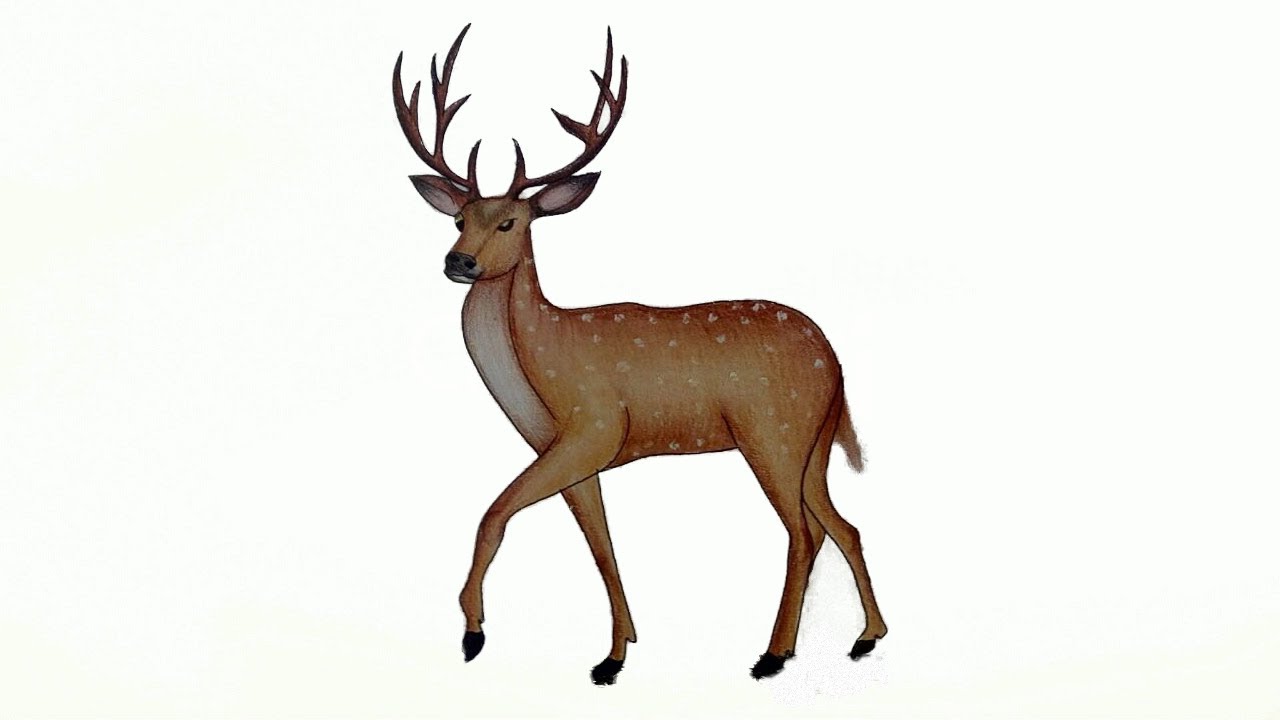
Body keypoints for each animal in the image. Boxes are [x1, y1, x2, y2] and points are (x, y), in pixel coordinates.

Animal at [392, 25, 887, 685]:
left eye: (511, 223)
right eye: (459, 220)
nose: (458, 262)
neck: (544, 366)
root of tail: (835, 361)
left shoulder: (595, 427)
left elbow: (493, 514)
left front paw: (474, 632)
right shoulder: (570, 451)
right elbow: (601, 544)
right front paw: (614, 655)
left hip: (771, 430)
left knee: (804, 533)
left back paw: (773, 655)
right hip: (814, 440)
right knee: (844, 526)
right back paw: (866, 638)